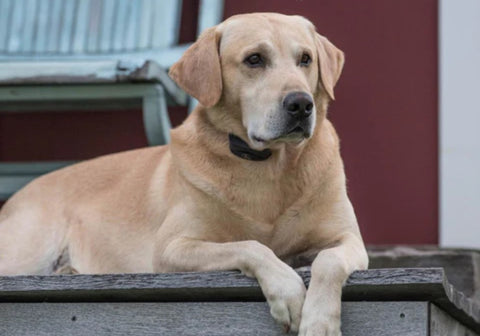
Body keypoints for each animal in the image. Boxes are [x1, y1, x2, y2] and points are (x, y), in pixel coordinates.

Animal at [0, 13, 368, 336]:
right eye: (254, 60)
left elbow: (328, 261)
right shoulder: (172, 248)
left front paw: (320, 321)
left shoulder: (350, 240)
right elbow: (251, 246)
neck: (268, 166)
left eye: (305, 59)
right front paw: (288, 292)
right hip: (27, 252)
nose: (301, 104)